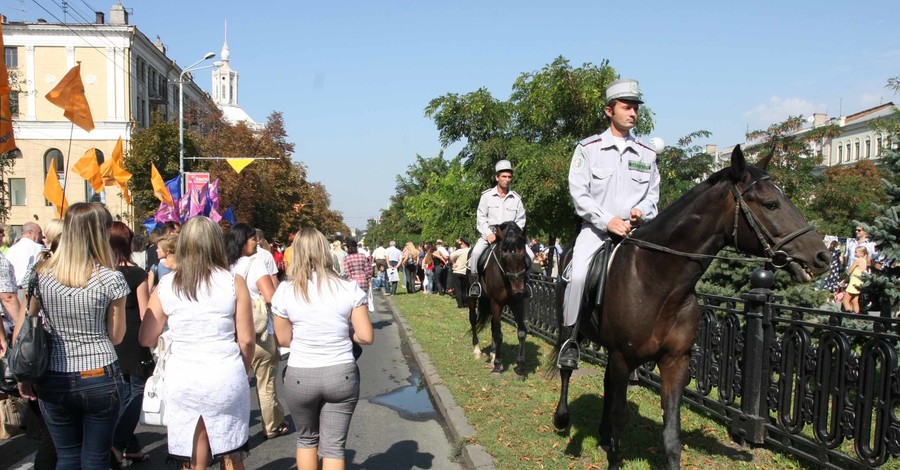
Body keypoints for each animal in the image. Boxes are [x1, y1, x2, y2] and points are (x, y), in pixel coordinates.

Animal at [468, 221, 532, 378]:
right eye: (503, 254)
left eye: (523, 254)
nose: (518, 289)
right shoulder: (496, 303)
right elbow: (498, 334)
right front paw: (498, 365)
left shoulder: (516, 303)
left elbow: (521, 332)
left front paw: (520, 367)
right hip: (473, 298)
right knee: (473, 319)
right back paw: (477, 349)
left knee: (492, 324)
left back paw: (492, 354)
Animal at [552, 145, 832, 468]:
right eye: (771, 203)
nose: (822, 256)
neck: (657, 280)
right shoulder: (624, 356)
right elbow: (620, 415)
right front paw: (612, 453)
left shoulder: (675, 361)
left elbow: (672, 432)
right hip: (572, 329)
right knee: (566, 368)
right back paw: (562, 418)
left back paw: (602, 435)